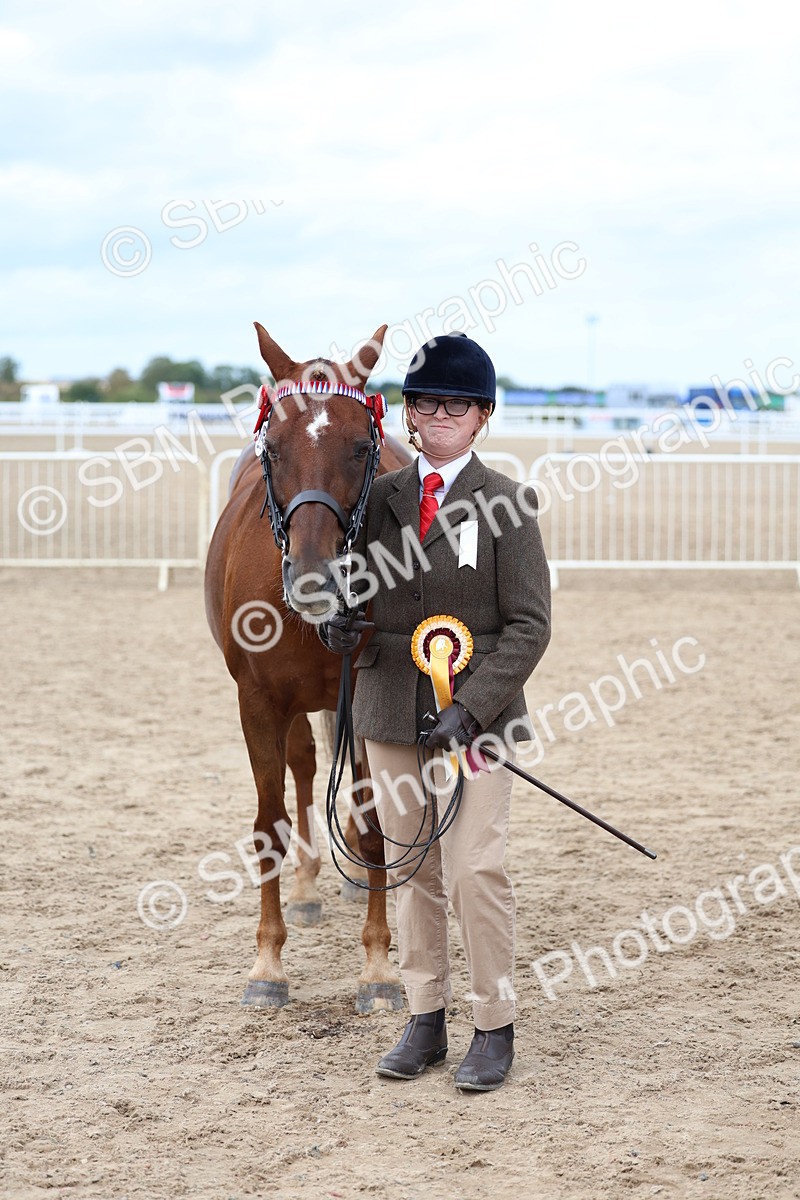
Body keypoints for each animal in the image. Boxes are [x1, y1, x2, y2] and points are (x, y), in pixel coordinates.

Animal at [204, 321, 410, 1013]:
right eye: (274, 447)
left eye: (359, 446)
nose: (315, 575)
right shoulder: (258, 702)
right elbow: (269, 824)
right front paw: (268, 962)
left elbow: (374, 824)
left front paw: (379, 968)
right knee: (303, 765)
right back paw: (306, 888)